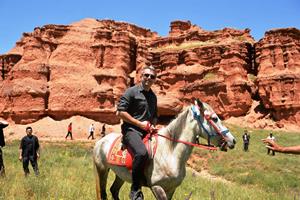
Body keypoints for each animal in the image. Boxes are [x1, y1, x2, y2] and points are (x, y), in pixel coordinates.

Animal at [92, 100, 236, 200]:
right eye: (214, 118)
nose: (232, 141)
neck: (170, 152)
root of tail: (101, 141)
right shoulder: (157, 187)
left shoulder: (171, 188)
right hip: (102, 170)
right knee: (103, 193)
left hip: (120, 174)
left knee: (114, 190)